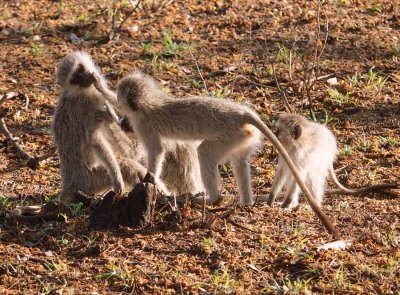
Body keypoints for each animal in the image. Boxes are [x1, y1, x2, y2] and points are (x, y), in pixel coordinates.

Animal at [52, 51, 147, 205]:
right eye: (75, 78)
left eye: (80, 70)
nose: (86, 78)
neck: (80, 92)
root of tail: (68, 183)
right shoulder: (91, 104)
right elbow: (94, 139)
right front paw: (117, 178)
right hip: (89, 182)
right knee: (125, 165)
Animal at [268, 113, 398, 208]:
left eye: (277, 131)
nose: (272, 136)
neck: (295, 146)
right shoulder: (285, 154)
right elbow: (282, 173)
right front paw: (271, 199)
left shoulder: (302, 157)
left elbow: (298, 177)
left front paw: (285, 205)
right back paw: (295, 204)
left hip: (321, 163)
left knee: (313, 179)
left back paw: (312, 204)